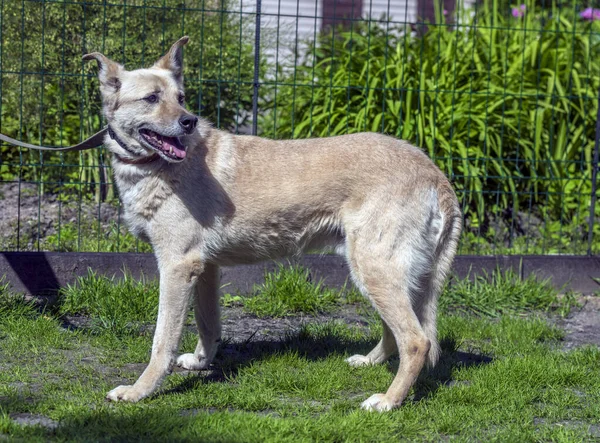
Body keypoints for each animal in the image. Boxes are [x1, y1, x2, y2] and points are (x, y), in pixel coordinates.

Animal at [82, 35, 462, 412]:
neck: (158, 167)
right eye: (151, 98)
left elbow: (162, 342)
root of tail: (434, 172)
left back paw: (388, 400)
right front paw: (202, 362)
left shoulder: (178, 266)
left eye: (181, 98)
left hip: (374, 268)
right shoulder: (204, 268)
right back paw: (371, 362)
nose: (189, 121)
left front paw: (139, 391)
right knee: (398, 331)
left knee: (417, 341)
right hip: (379, 272)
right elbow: (208, 325)